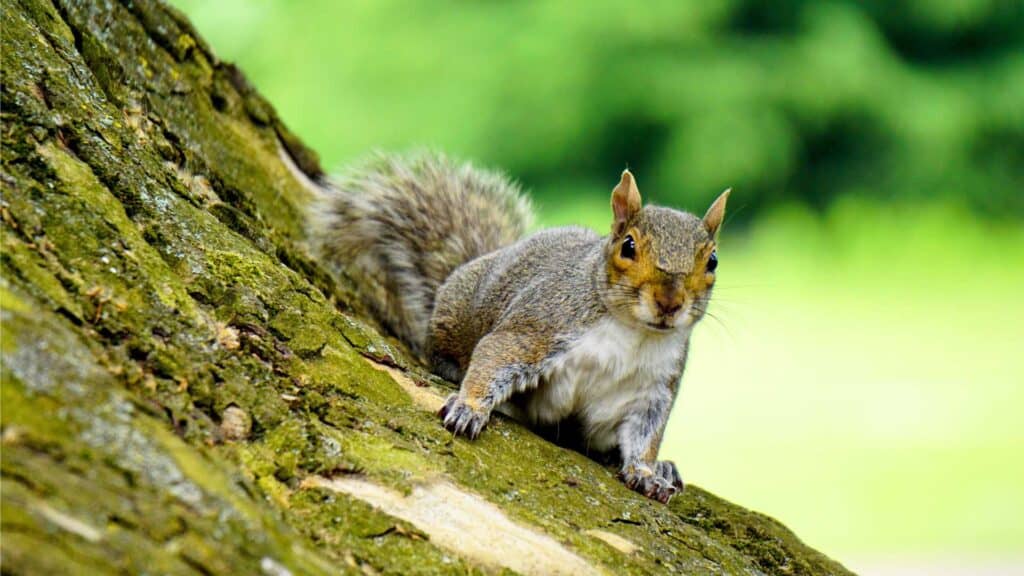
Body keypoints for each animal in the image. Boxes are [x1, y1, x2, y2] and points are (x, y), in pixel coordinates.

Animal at [305, 152, 729, 502]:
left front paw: (646, 471)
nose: (669, 303)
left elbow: (644, 435)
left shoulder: (652, 389)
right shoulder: (540, 326)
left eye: (712, 261)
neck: (633, 334)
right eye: (628, 246)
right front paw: (469, 407)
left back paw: (665, 468)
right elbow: (495, 354)